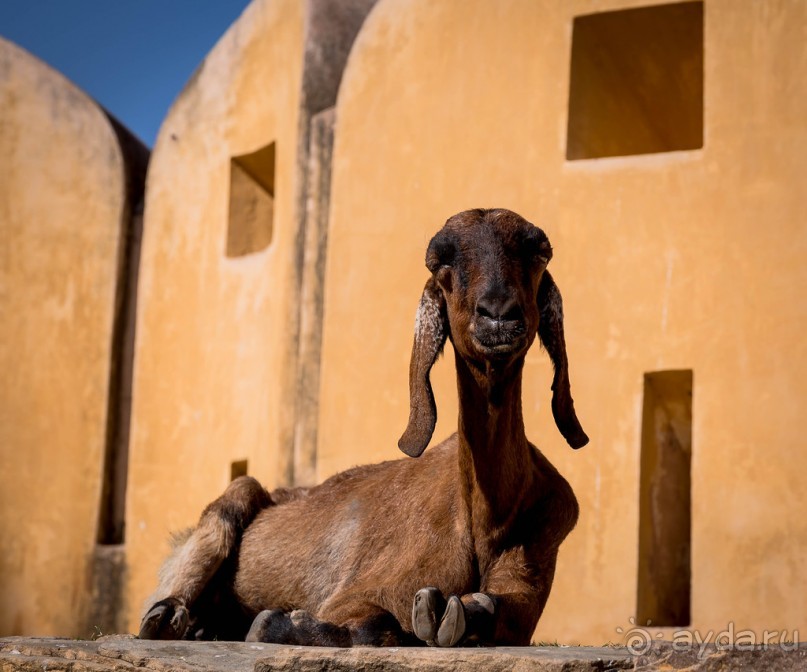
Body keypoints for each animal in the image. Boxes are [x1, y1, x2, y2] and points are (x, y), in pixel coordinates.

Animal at [139, 209, 588, 644]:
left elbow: (493, 608)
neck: (486, 519)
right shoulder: (360, 591)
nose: (497, 314)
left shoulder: (528, 581)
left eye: (538, 253)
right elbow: (381, 625)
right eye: (441, 261)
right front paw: (282, 624)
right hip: (232, 502)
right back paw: (169, 617)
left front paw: (451, 616)